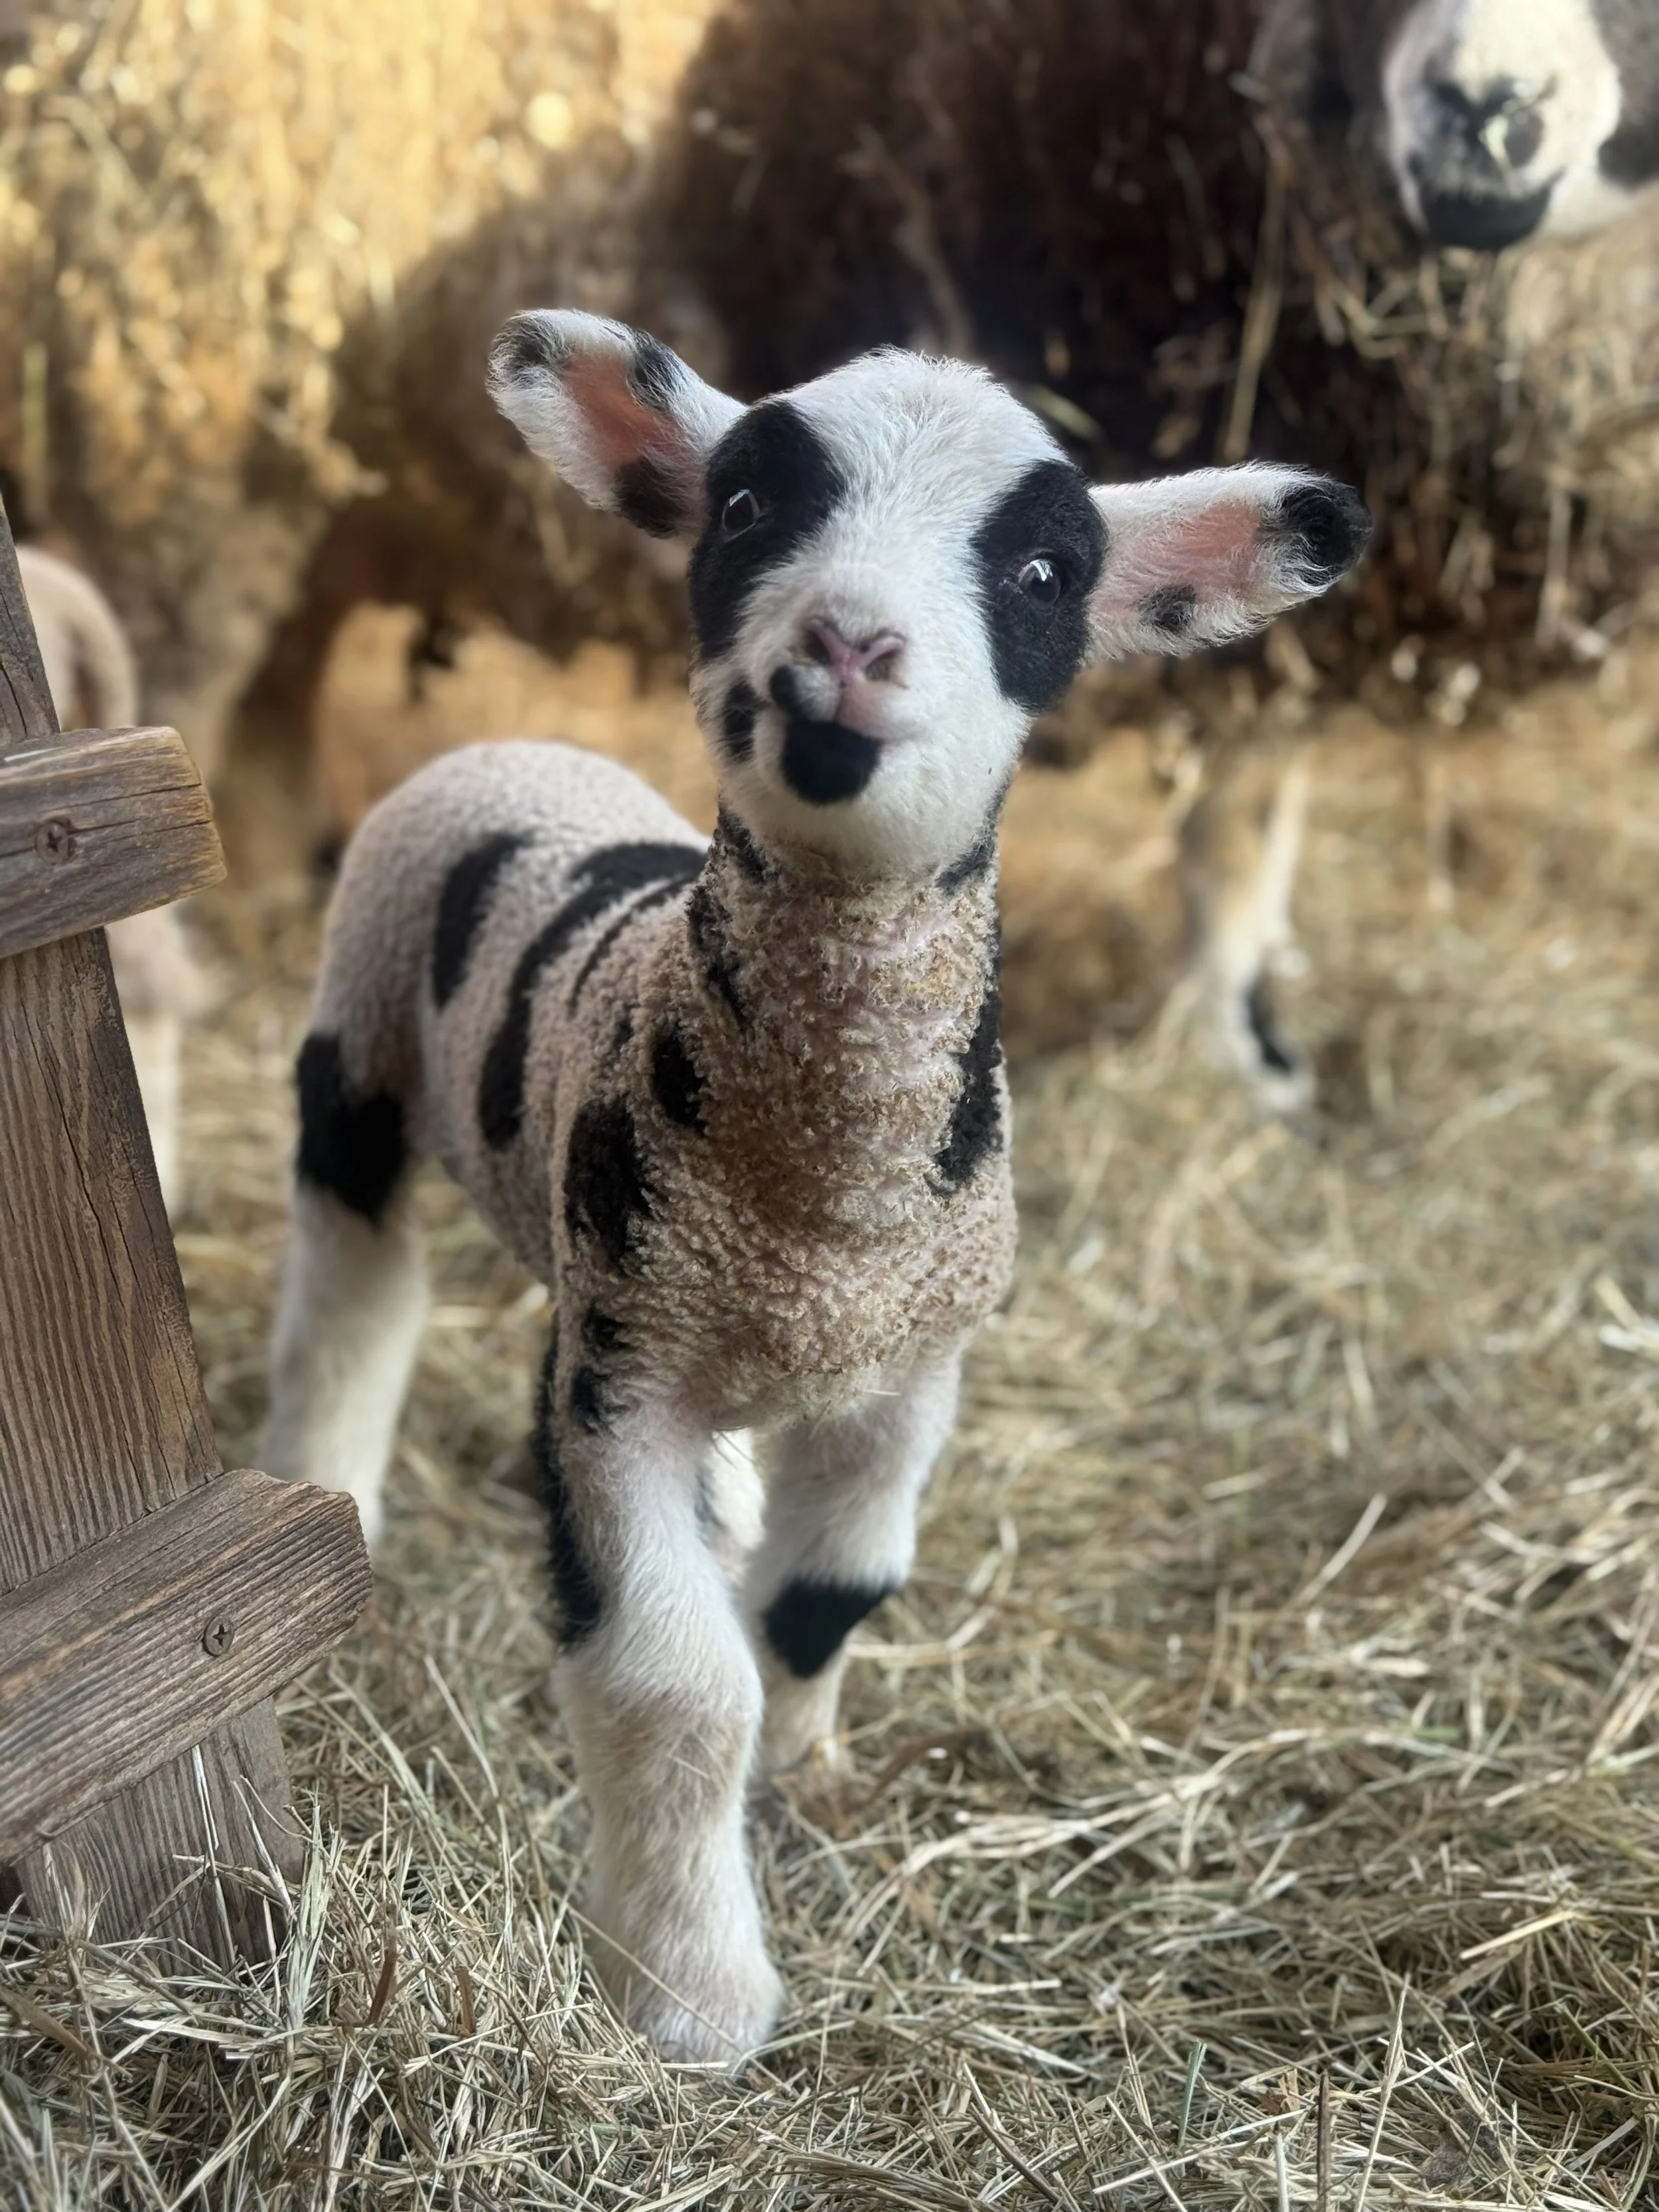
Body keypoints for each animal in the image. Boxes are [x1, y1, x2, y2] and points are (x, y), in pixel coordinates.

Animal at [260, 310, 1368, 2060]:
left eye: (1045, 571)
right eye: (739, 506)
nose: (844, 646)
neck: (819, 1215)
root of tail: (516, 743)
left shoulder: (908, 1373)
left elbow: (827, 1597)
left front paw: (805, 1778)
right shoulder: (615, 1377)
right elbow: (673, 1684)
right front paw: (691, 1995)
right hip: (356, 1045)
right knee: (350, 1299)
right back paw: (329, 1492)